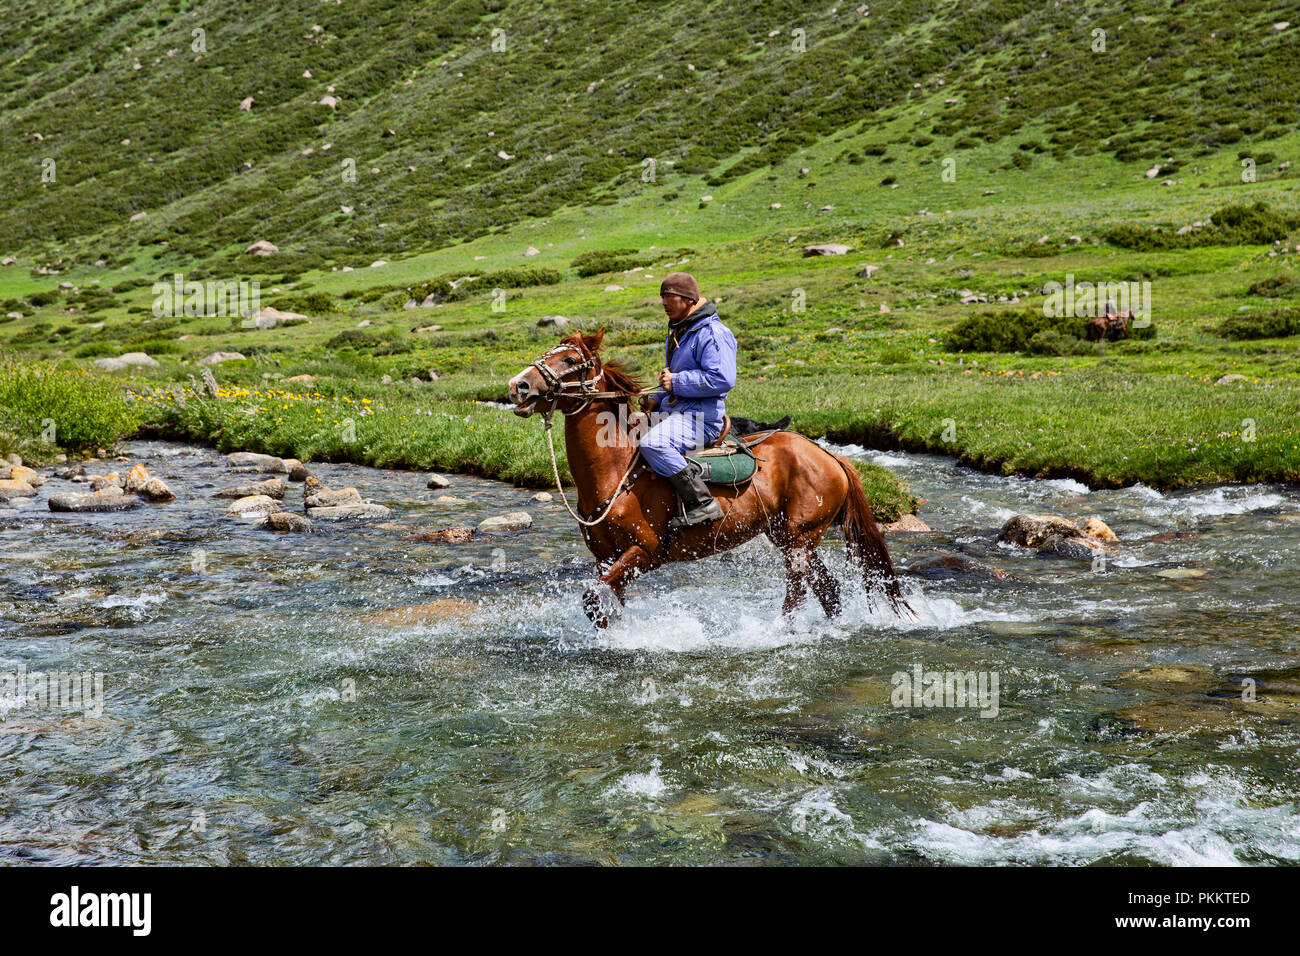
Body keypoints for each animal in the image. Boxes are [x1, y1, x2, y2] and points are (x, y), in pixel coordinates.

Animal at [501, 329, 909, 629]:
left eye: (570, 360)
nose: (517, 385)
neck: (616, 471)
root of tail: (828, 455)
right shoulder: (606, 559)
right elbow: (604, 606)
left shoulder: (644, 553)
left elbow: (592, 599)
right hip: (788, 536)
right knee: (828, 589)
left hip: (800, 539)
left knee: (798, 592)